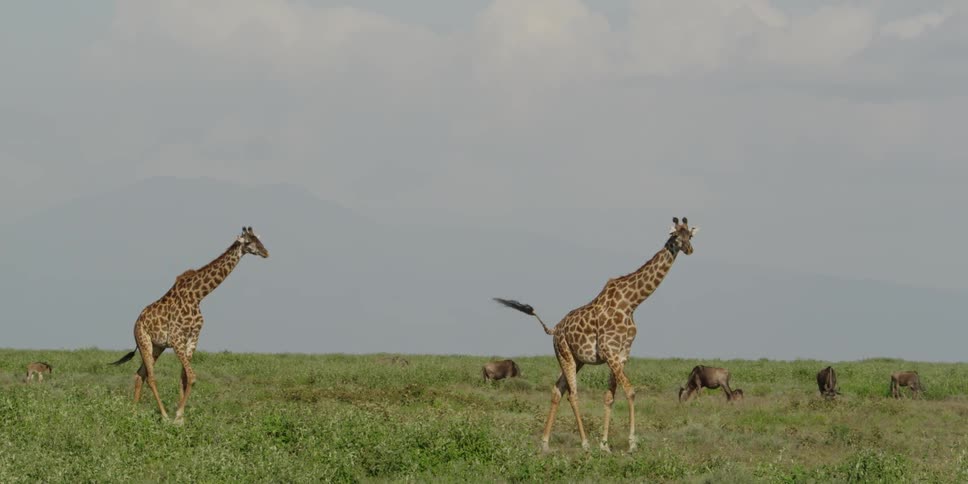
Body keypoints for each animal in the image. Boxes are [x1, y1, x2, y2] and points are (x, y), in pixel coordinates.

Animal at [110, 227, 269, 424]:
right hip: (144, 341)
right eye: (248, 242)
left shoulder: (192, 338)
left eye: (259, 240)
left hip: (157, 346)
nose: (265, 252)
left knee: (140, 374)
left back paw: (133, 411)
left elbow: (184, 378)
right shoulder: (177, 338)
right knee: (151, 377)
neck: (197, 296)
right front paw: (177, 415)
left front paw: (181, 417)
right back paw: (163, 415)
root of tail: (136, 322)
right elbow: (192, 376)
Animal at [495, 217, 698, 452]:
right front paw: (631, 444)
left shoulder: (621, 355)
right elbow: (630, 391)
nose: (689, 249)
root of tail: (555, 329)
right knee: (572, 394)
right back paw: (584, 443)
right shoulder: (609, 351)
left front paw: (605, 444)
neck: (631, 303)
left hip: (577, 359)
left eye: (690, 236)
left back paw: (545, 443)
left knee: (557, 390)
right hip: (564, 353)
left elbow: (609, 397)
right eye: (676, 236)